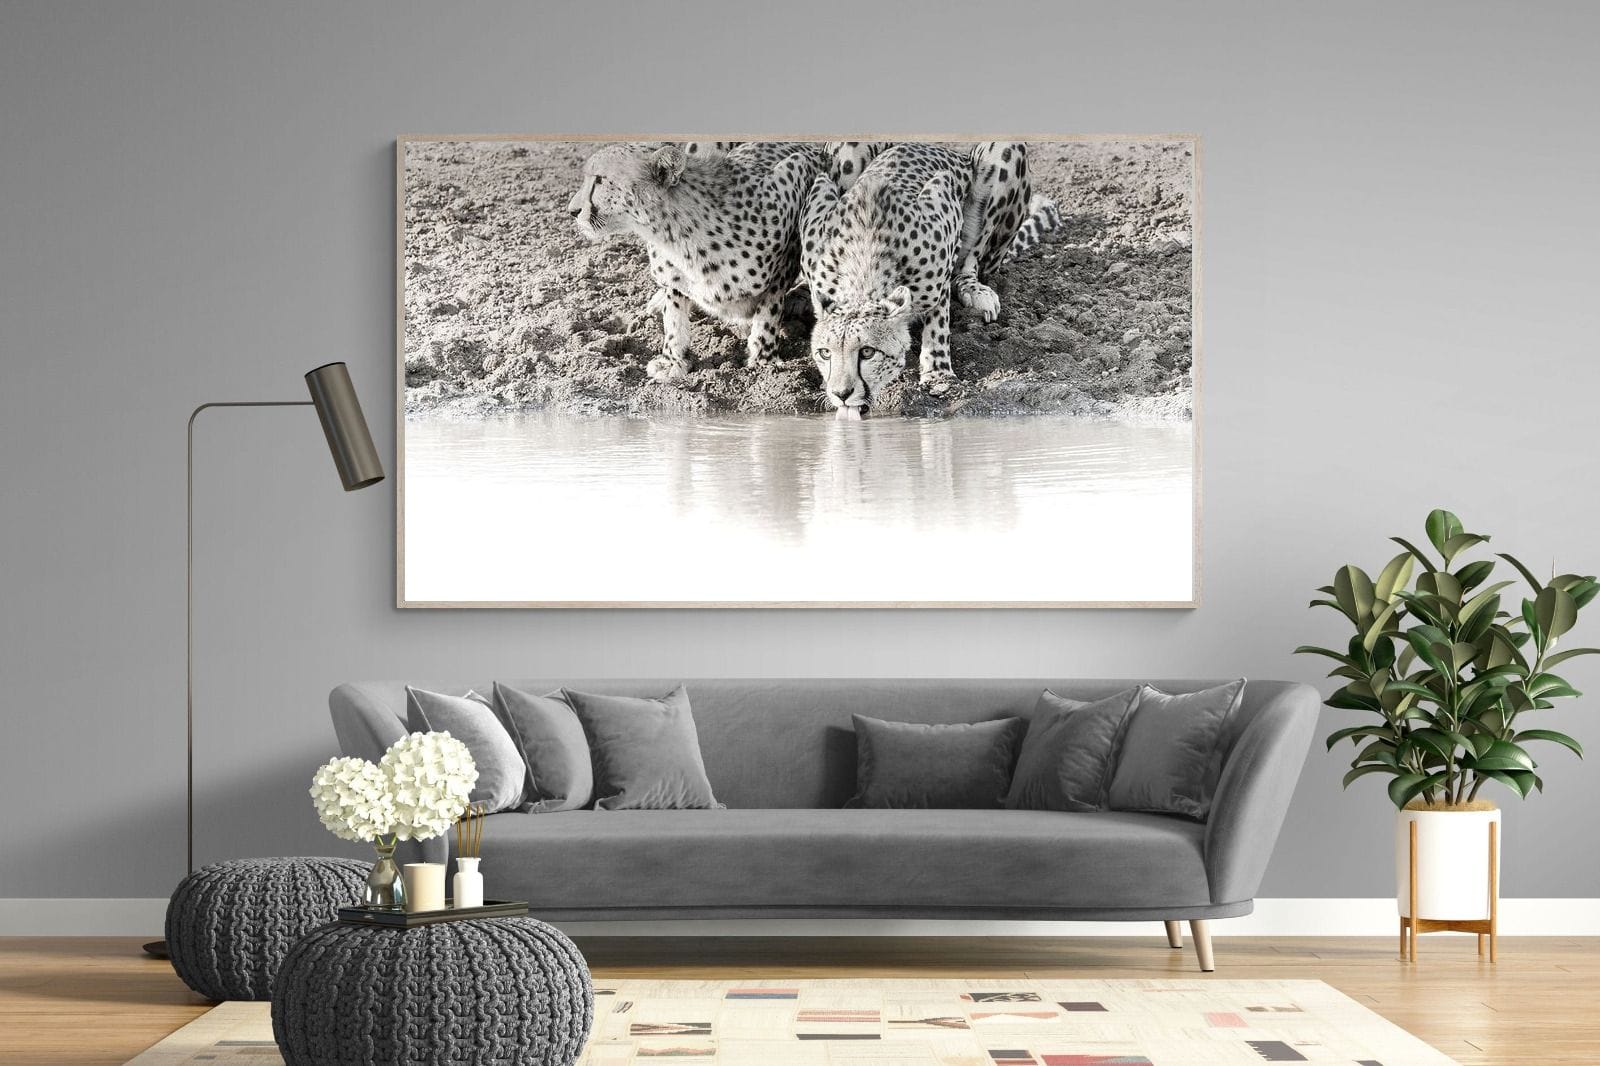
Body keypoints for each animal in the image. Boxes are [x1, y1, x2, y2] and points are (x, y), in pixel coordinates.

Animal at [567, 141, 820, 382]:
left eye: (600, 180)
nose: (572, 210)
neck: (674, 233)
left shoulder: (801, 170)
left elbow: (770, 306)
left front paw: (763, 360)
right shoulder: (673, 278)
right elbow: (673, 315)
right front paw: (672, 359)